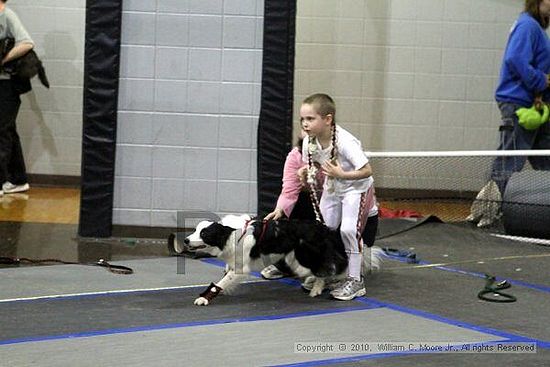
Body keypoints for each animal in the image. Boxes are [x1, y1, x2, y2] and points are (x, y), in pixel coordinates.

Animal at [183, 216, 382, 308]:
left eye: (204, 233)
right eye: (195, 230)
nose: (185, 240)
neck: (229, 234)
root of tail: (324, 229)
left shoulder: (241, 267)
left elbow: (223, 281)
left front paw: (205, 297)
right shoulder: (233, 261)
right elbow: (225, 276)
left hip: (302, 258)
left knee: (325, 269)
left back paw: (317, 289)